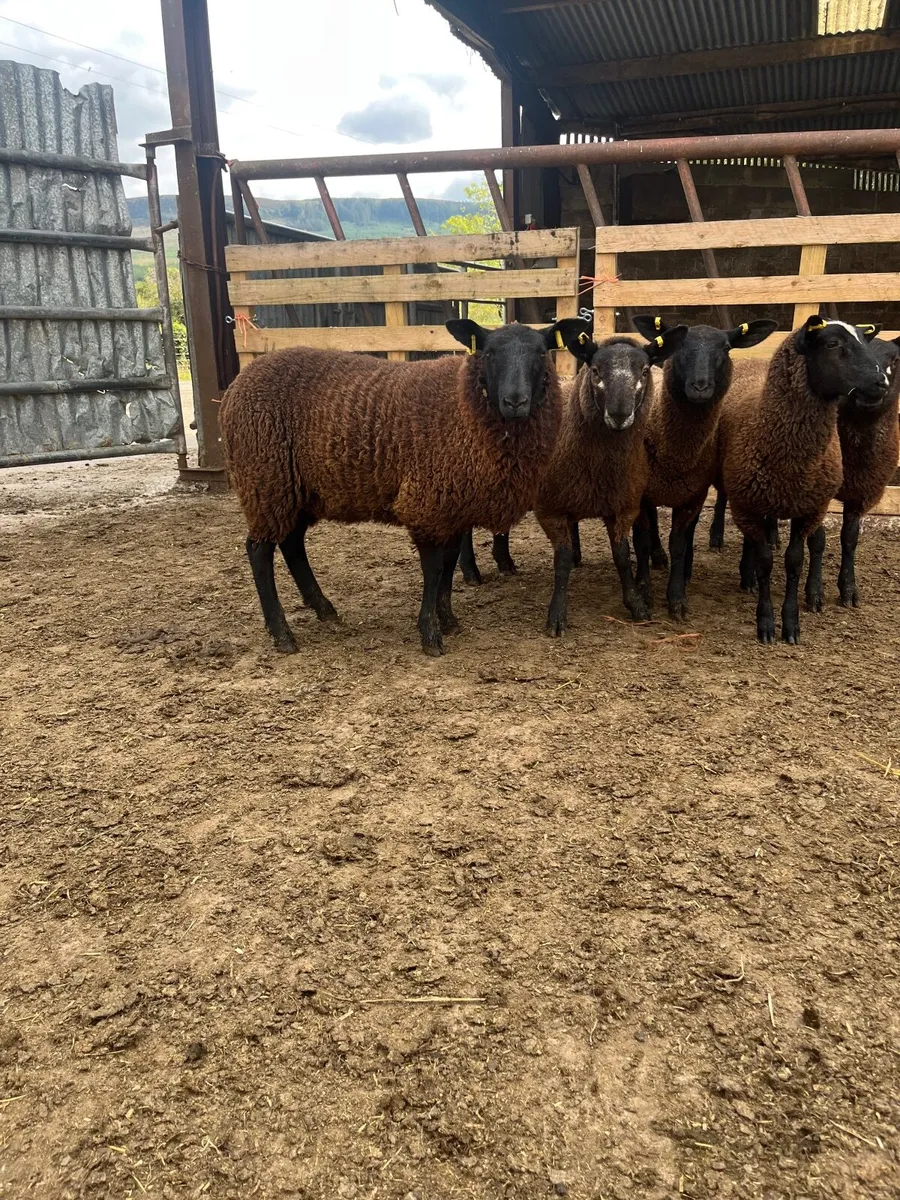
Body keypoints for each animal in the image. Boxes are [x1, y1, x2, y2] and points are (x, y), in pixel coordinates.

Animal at [219, 315, 589, 656]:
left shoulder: (453, 507)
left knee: (292, 544)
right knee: (259, 551)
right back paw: (282, 634)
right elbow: (434, 569)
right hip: (265, 479)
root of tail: (236, 385)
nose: (515, 401)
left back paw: (324, 609)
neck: (463, 406)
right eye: (490, 352)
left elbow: (449, 566)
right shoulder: (427, 503)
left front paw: (448, 619)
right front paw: (430, 634)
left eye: (541, 352)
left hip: (295, 490)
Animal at [536, 326, 688, 635]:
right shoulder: (550, 509)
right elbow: (562, 560)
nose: (619, 414)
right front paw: (557, 614)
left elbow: (622, 556)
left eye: (644, 370)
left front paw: (636, 604)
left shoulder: (623, 505)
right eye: (595, 370)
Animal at [629, 316, 779, 619]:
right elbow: (641, 541)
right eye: (680, 347)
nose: (700, 387)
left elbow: (679, 543)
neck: (676, 453)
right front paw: (644, 592)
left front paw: (677, 598)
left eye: (726, 348)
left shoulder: (693, 496)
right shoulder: (641, 493)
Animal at [717, 316, 889, 644]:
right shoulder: (750, 505)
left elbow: (794, 561)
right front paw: (766, 624)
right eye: (832, 344)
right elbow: (765, 562)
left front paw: (791, 623)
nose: (881, 383)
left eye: (864, 340)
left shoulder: (808, 509)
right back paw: (748, 576)